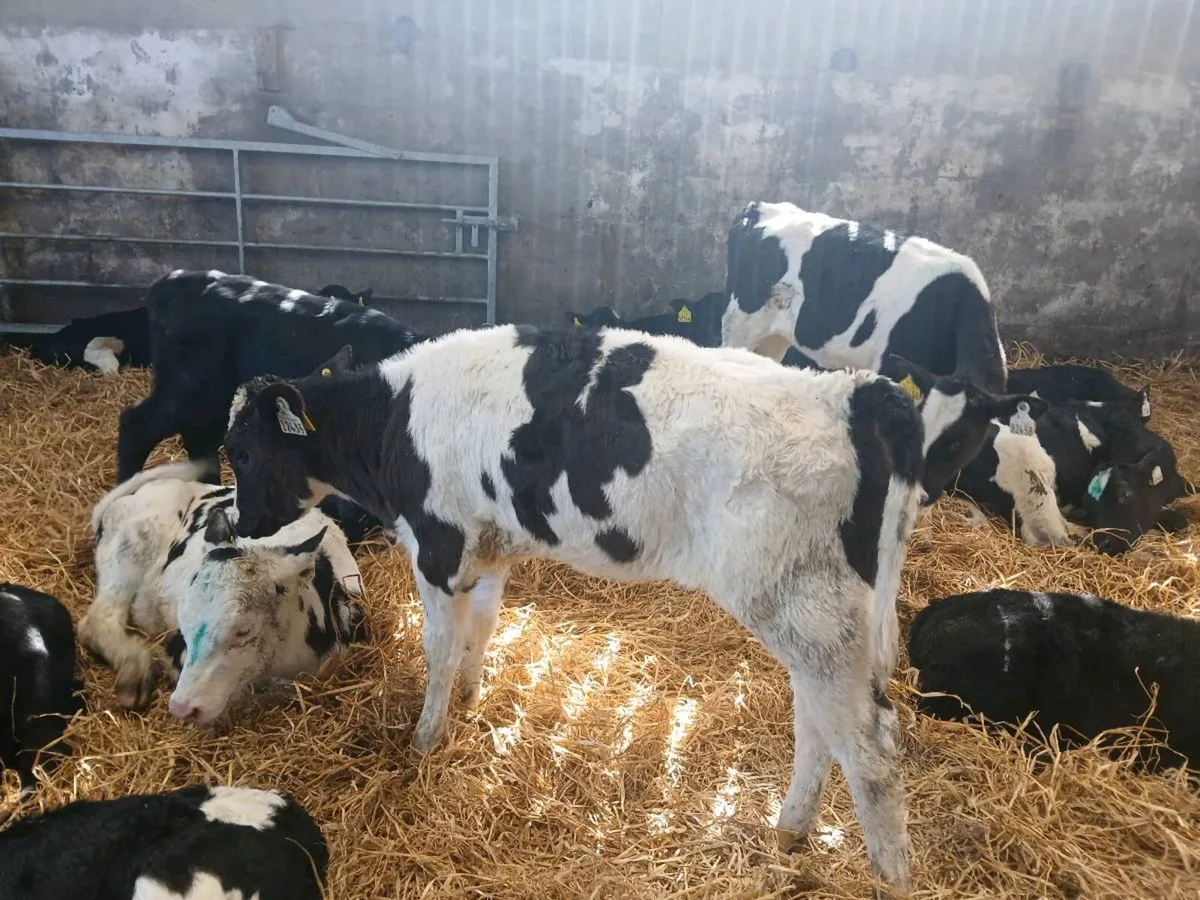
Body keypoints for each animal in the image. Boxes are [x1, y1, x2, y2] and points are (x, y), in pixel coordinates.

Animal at [77, 461, 368, 724]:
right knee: (98, 619)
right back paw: (134, 671)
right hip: (131, 547)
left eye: (244, 630)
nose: (182, 707)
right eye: (183, 621)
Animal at [221, 326, 929, 889]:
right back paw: (790, 831)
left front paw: (425, 738)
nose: (240, 521)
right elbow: (484, 627)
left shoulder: (438, 546)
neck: (397, 421)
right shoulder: (489, 546)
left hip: (805, 605)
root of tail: (855, 393)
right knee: (818, 722)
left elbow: (439, 650)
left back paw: (889, 877)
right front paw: (472, 698)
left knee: (869, 747)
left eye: (243, 450)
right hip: (820, 614)